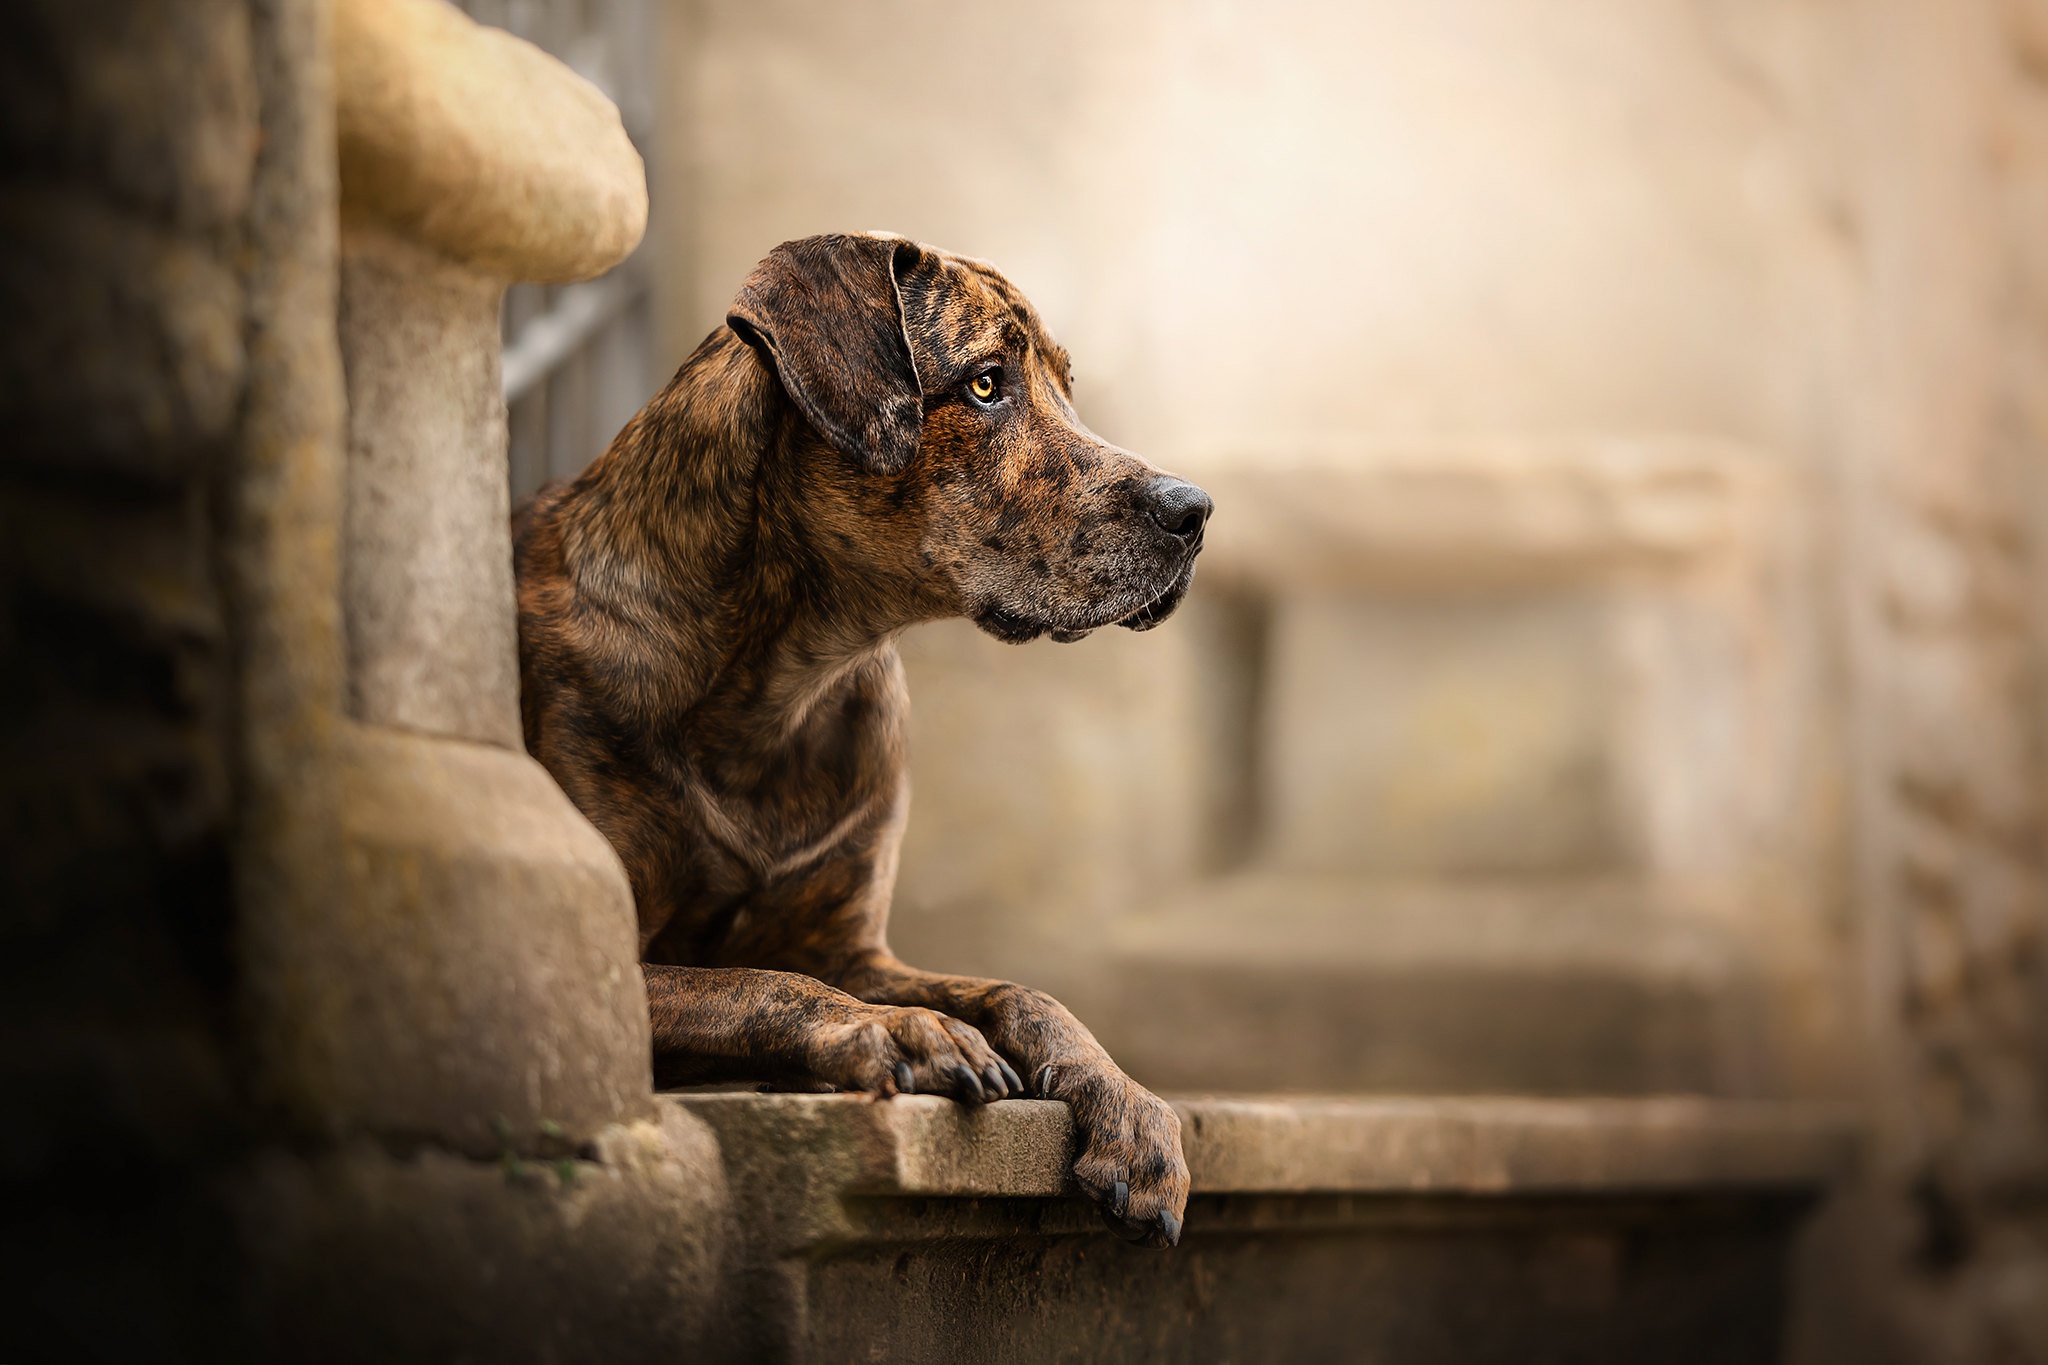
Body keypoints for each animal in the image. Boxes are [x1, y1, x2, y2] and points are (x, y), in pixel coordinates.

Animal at [520, 229, 1204, 1244]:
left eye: (1066, 385)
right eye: (985, 384)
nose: (1194, 510)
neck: (785, 677)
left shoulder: (855, 952)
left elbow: (1023, 991)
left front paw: (1126, 1100)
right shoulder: (598, 967)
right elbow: (757, 981)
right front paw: (895, 1030)